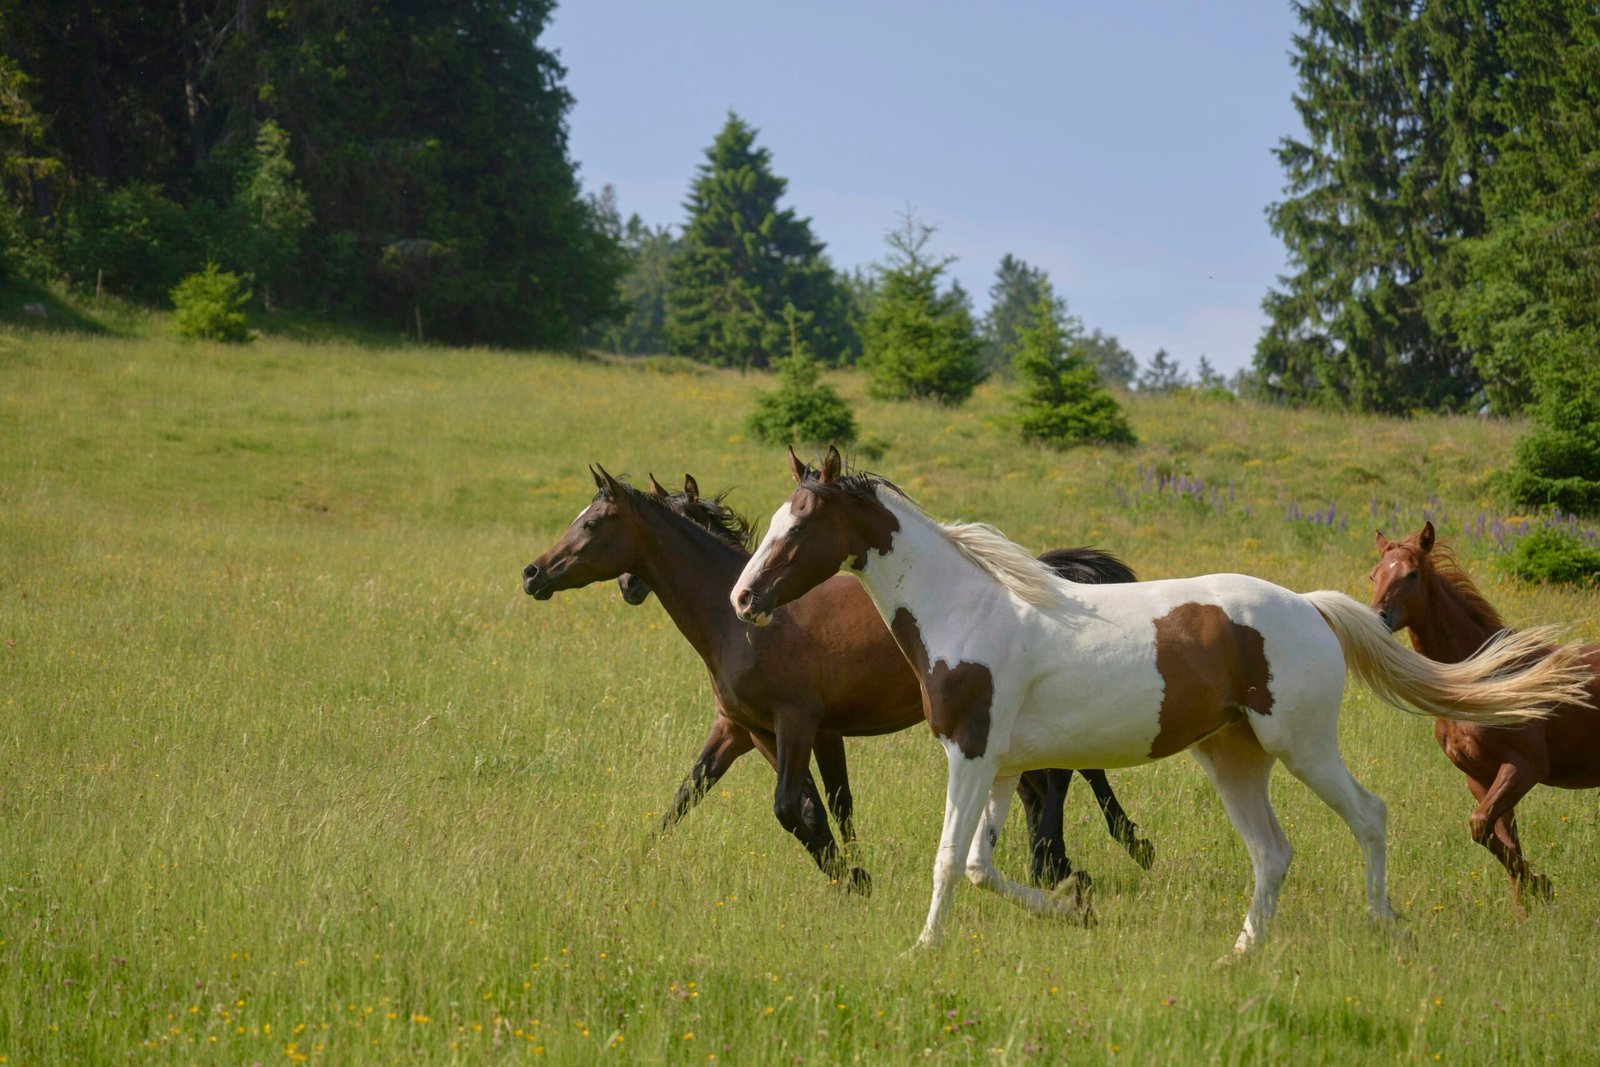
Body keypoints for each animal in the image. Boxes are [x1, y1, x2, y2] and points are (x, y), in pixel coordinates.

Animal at [522, 465, 1155, 895]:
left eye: (593, 523)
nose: (533, 574)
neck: (741, 622)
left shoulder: (800, 724)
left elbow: (796, 807)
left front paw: (854, 877)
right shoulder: (747, 730)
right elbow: (699, 795)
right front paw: (631, 860)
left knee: (1059, 780)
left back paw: (1075, 859)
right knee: (1043, 785)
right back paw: (1065, 861)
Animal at [1371, 521, 1600, 909]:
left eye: (1412, 574)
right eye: (1374, 574)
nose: (1377, 620)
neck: (1485, 681)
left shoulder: (1526, 766)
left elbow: (1480, 826)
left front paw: (1542, 886)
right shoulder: (1479, 776)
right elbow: (1500, 838)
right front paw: (1527, 905)